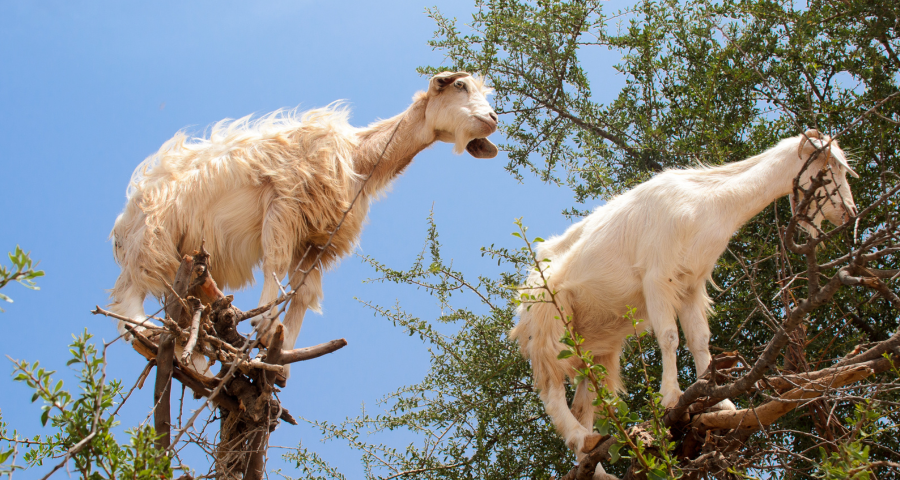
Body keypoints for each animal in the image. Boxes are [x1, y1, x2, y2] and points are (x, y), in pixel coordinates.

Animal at [109, 71, 500, 376]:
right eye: (460, 85)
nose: (493, 118)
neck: (359, 157)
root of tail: (121, 223)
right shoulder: (284, 204)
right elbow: (275, 263)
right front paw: (264, 321)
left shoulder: (318, 239)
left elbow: (304, 294)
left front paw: (278, 356)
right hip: (152, 241)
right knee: (128, 303)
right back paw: (160, 339)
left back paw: (191, 357)